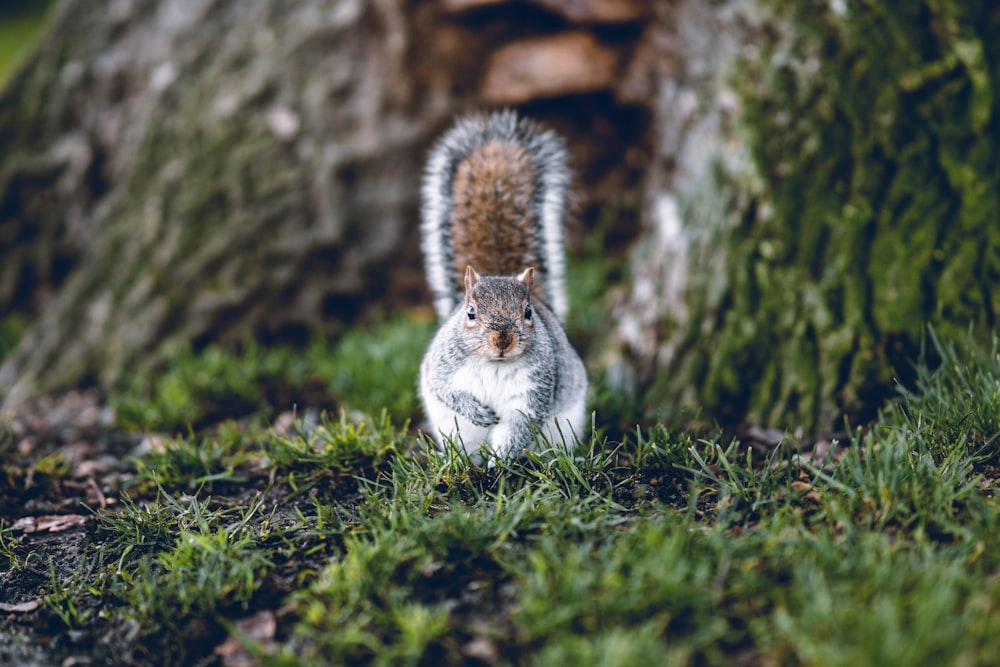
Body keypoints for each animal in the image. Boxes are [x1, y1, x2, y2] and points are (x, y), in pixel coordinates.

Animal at [420, 112, 588, 462]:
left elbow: (517, 429)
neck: (494, 365)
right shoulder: (443, 367)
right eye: (470, 313)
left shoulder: (532, 393)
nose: (502, 341)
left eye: (528, 312)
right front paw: (478, 413)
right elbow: (445, 389)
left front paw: (501, 462)